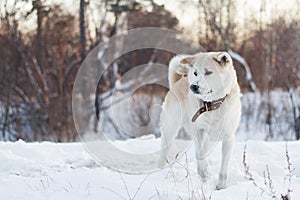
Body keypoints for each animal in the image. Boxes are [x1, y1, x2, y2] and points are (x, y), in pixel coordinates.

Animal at [159, 51, 241, 189]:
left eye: (208, 73)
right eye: (195, 73)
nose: (193, 86)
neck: (213, 105)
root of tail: (178, 82)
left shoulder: (228, 138)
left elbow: (223, 165)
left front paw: (221, 186)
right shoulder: (199, 131)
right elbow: (199, 154)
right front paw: (204, 173)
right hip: (170, 129)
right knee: (163, 150)